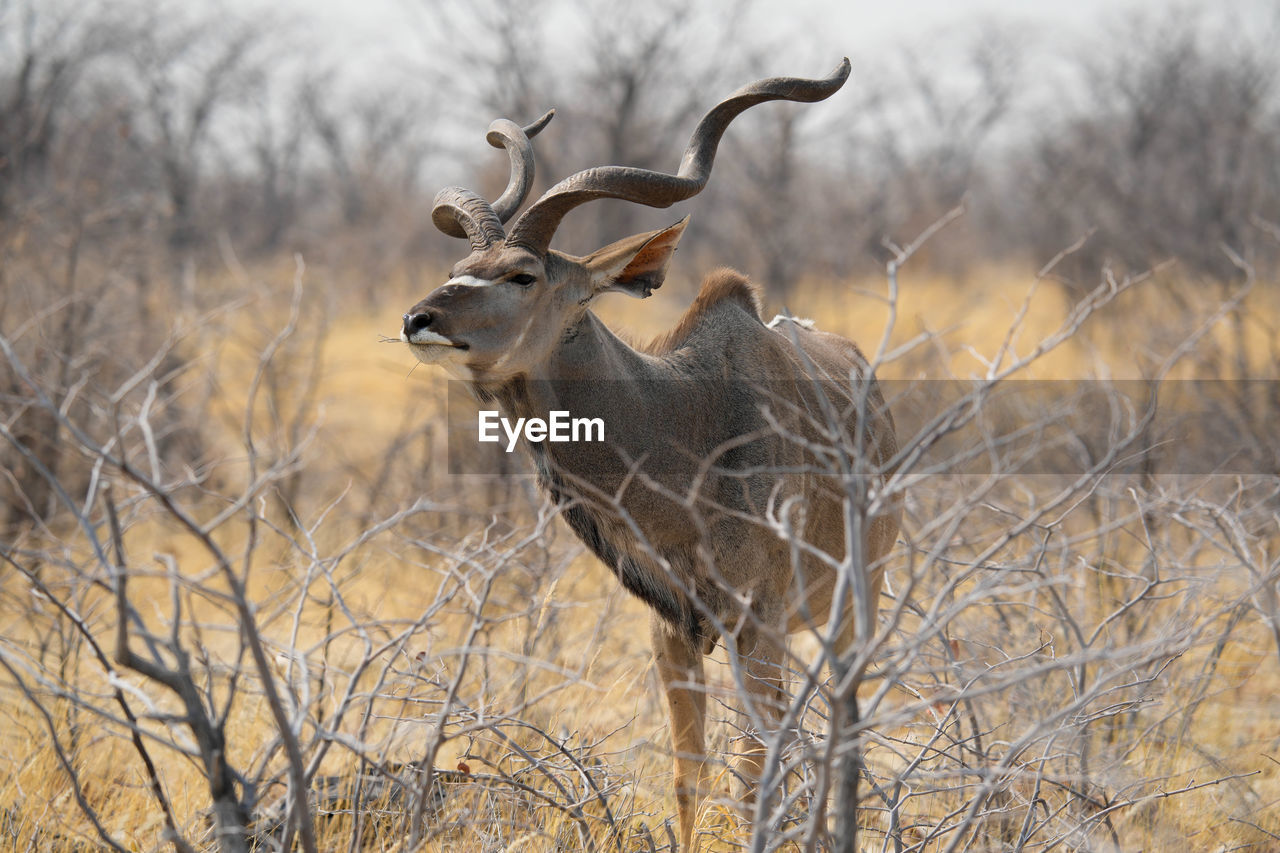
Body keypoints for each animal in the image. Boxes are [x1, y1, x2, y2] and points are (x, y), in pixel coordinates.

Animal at [399, 58, 901, 845]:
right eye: (459, 265)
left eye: (523, 275)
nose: (419, 318)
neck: (683, 431)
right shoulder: (672, 631)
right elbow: (688, 778)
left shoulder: (754, 624)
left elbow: (751, 777)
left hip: (857, 602)